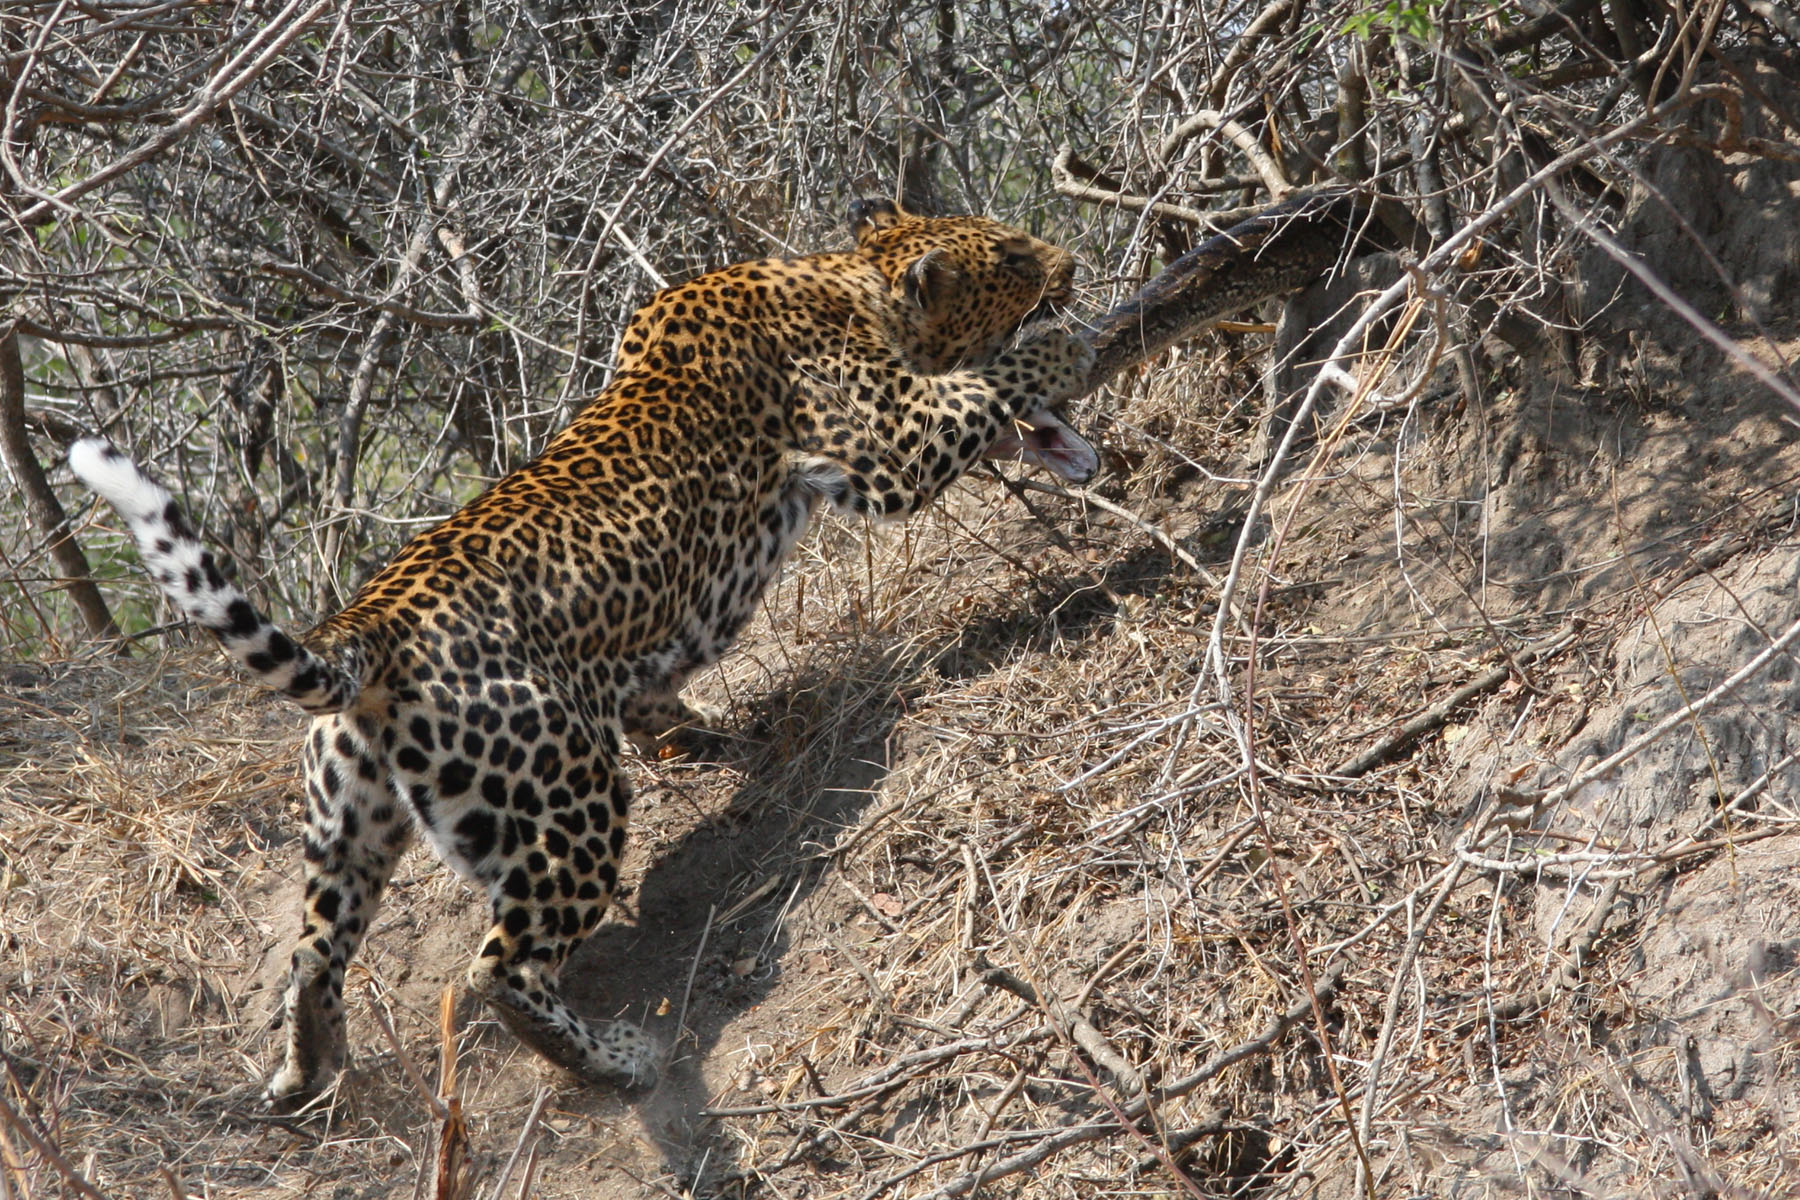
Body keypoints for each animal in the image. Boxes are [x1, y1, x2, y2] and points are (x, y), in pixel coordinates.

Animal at [70, 197, 1094, 1108]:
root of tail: (366, 626)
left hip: (348, 823)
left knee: (316, 950)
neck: (850, 278)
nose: (1074, 261)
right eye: (1012, 255)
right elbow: (989, 387)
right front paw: (1088, 339)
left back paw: (306, 1072)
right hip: (563, 801)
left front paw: (712, 736)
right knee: (498, 970)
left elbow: (659, 697)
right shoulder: (886, 441)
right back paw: (619, 1059)